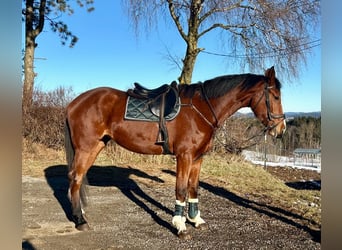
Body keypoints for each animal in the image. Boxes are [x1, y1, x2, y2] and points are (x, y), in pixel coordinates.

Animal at [64, 66, 286, 238]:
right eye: (275, 96)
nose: (281, 129)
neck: (201, 109)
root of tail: (74, 103)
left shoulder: (198, 158)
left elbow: (193, 188)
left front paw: (195, 219)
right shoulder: (184, 157)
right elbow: (181, 189)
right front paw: (180, 225)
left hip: (97, 146)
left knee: (77, 179)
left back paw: (79, 213)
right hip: (86, 148)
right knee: (76, 178)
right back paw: (80, 220)